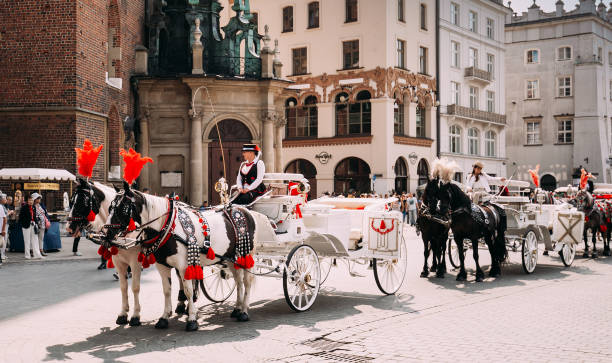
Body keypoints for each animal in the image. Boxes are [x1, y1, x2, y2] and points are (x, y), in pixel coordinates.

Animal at [104, 183, 272, 332]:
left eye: (122, 208)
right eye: (110, 208)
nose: (106, 234)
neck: (167, 226)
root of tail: (246, 210)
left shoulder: (183, 266)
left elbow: (188, 291)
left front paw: (191, 319)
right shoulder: (162, 266)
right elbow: (167, 290)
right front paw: (164, 318)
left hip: (247, 255)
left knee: (247, 282)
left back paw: (244, 312)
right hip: (231, 258)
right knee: (238, 281)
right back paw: (237, 309)